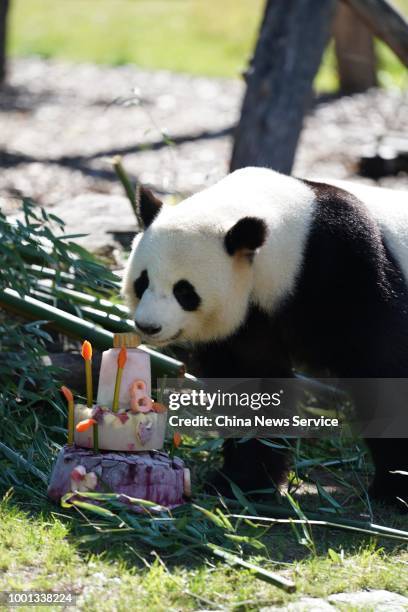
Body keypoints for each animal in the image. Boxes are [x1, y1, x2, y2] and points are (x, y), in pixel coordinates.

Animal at [122, 166, 408, 506]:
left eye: (184, 291)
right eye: (142, 282)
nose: (148, 326)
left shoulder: (350, 267)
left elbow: (384, 368)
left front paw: (395, 488)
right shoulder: (247, 318)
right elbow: (253, 386)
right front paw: (242, 483)